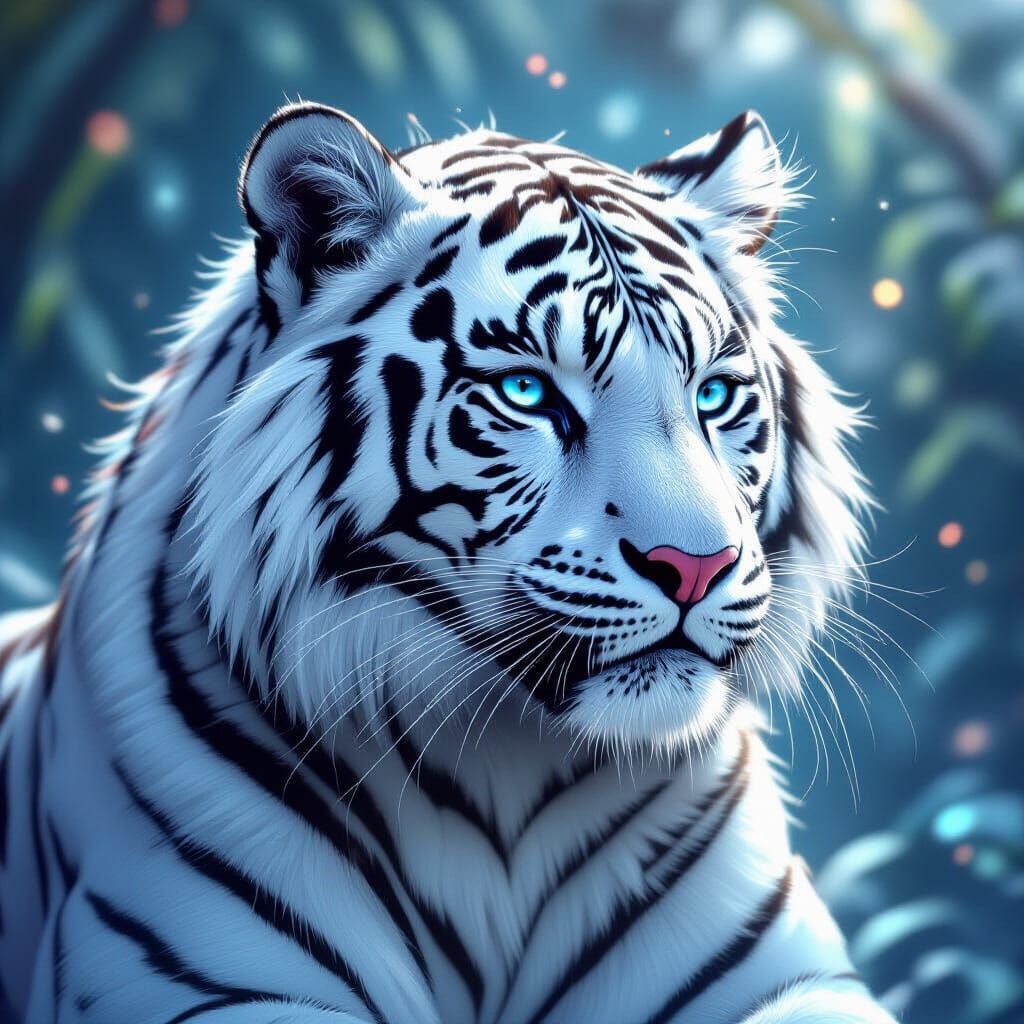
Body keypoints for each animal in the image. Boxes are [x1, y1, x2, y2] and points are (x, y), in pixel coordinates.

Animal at [0, 101, 896, 1024]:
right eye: (528, 393)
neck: (507, 766)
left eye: (712, 396)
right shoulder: (210, 981)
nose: (694, 566)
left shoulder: (787, 980)